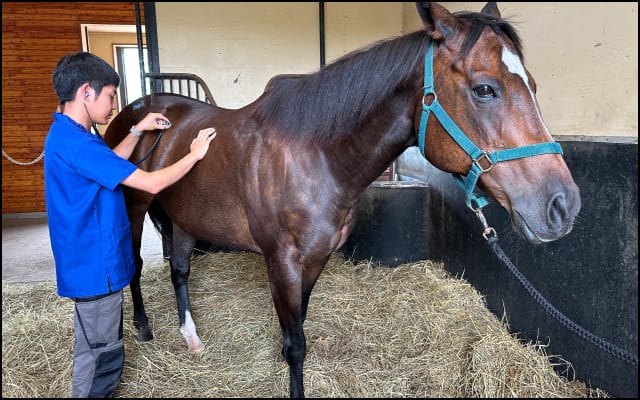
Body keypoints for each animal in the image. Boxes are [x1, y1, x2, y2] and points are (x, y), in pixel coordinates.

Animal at [104, 2, 580, 396]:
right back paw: (144, 328)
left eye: (533, 85)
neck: (314, 154)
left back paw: (192, 338)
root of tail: (138, 110)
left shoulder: (316, 258)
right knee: (136, 264)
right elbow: (295, 345)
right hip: (134, 208)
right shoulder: (281, 261)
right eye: (484, 89)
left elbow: (298, 327)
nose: (562, 205)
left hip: (184, 217)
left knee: (180, 271)